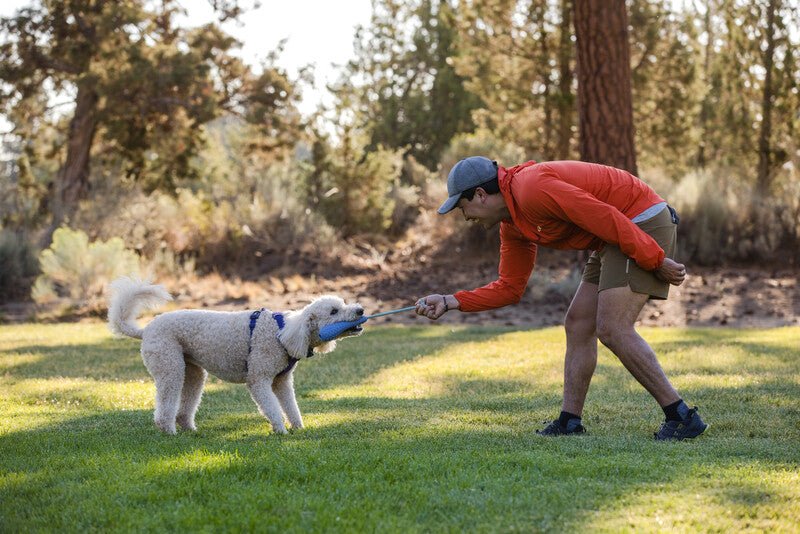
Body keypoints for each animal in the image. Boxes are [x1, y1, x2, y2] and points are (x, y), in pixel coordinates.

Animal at [108, 278, 364, 438]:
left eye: (343, 303)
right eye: (333, 311)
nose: (361, 310)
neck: (283, 332)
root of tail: (145, 330)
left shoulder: (281, 382)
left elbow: (291, 407)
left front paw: (299, 428)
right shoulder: (259, 379)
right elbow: (272, 408)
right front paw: (281, 431)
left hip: (193, 373)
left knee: (185, 407)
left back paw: (189, 429)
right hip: (169, 366)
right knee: (165, 405)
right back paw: (168, 431)